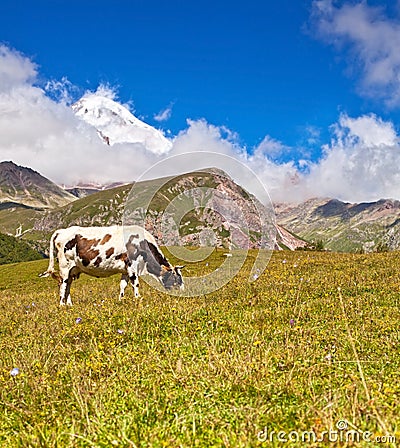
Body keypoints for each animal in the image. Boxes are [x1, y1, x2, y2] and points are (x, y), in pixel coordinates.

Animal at [39, 226, 184, 306]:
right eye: (177, 278)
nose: (182, 294)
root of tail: (61, 231)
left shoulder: (125, 270)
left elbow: (123, 285)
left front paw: (121, 300)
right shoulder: (132, 266)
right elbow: (135, 283)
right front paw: (138, 299)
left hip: (73, 269)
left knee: (68, 284)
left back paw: (69, 304)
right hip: (65, 266)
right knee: (62, 284)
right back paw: (62, 304)